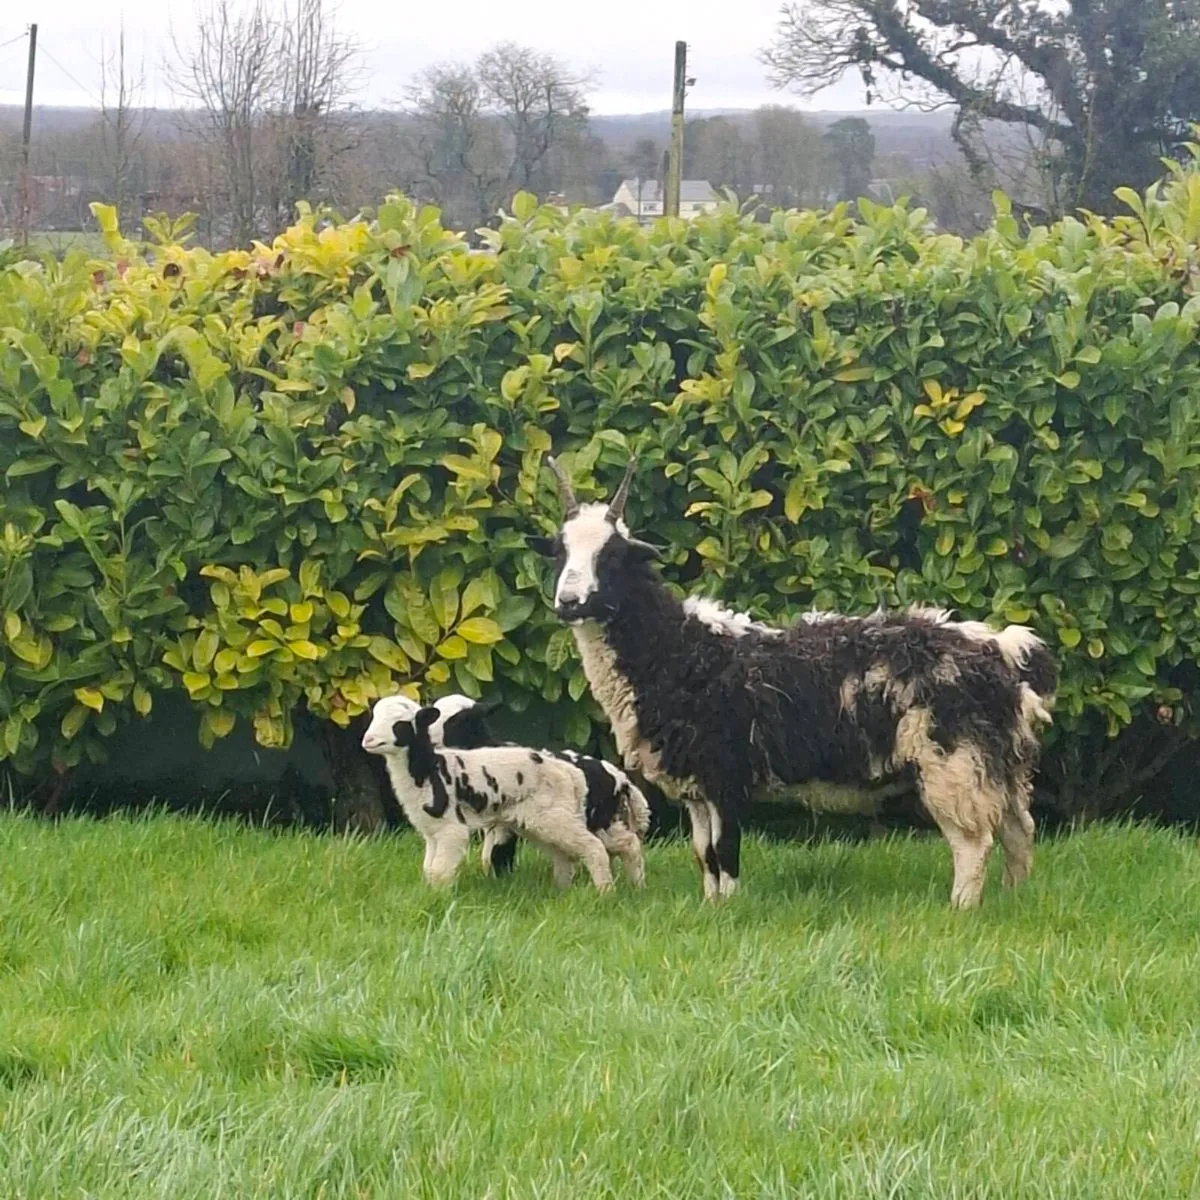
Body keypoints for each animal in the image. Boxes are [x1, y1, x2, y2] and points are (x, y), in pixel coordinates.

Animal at [361, 696, 648, 890]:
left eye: (399, 724)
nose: (367, 740)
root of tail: (619, 776)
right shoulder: (450, 829)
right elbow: (438, 867)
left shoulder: (459, 828)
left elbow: (455, 865)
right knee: (568, 852)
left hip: (590, 820)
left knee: (621, 845)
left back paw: (621, 888)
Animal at [531, 453, 1058, 909]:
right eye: (559, 552)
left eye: (613, 556)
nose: (569, 602)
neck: (676, 652)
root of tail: (999, 649)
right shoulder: (697, 783)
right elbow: (704, 855)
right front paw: (709, 909)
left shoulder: (726, 773)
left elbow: (725, 851)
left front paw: (730, 911)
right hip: (999, 761)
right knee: (1019, 832)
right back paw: (1013, 899)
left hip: (953, 759)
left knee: (973, 842)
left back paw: (961, 908)